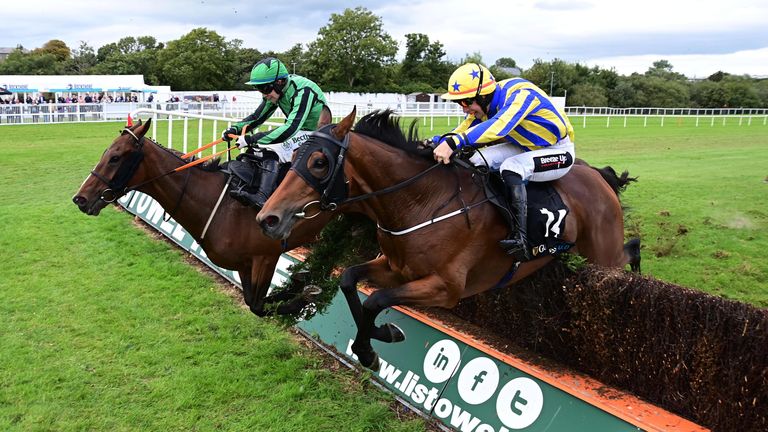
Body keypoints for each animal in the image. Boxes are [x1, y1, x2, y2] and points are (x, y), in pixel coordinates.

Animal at [73, 118, 334, 314]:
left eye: (115, 157)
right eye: (106, 152)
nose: (80, 198)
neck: (220, 202)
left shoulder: (266, 256)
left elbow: (259, 306)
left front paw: (305, 292)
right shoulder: (243, 264)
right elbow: (254, 302)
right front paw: (301, 282)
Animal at [258, 108, 640, 368]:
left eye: (319, 162)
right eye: (294, 155)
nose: (267, 218)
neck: (421, 202)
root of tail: (598, 175)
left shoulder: (446, 289)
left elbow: (376, 300)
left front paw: (369, 350)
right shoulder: (395, 266)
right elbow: (350, 280)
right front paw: (380, 336)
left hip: (601, 254)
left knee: (625, 257)